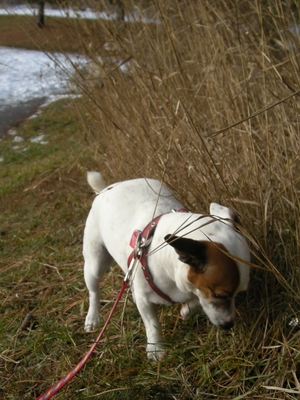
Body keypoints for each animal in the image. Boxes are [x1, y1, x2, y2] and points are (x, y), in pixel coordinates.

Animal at [83, 172, 250, 360]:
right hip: (94, 264)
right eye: (220, 295)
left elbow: (195, 301)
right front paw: (155, 348)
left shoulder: (192, 287)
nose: (229, 325)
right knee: (94, 291)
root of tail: (105, 188)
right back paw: (92, 317)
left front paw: (186, 310)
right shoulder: (145, 299)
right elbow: (152, 324)